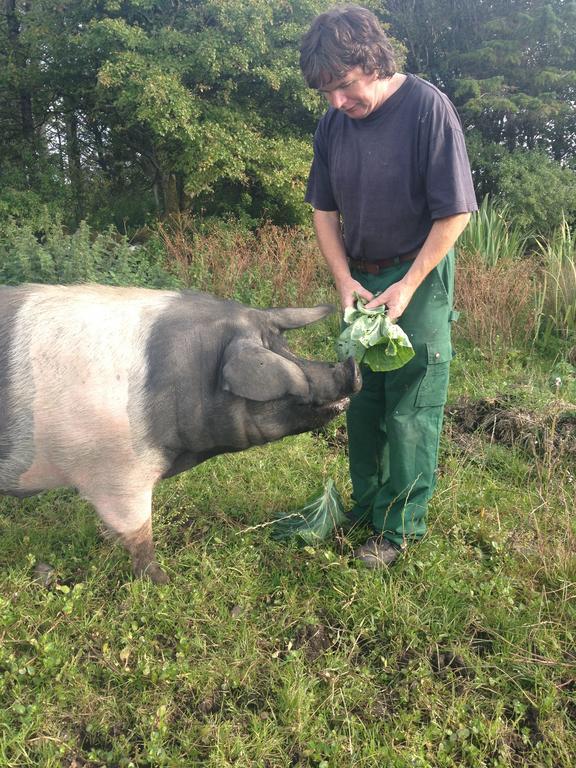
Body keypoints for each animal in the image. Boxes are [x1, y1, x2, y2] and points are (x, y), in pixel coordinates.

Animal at [0, 284, 360, 584]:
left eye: (287, 349)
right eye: (277, 362)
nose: (352, 368)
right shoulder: (119, 473)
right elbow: (140, 534)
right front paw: (162, 582)